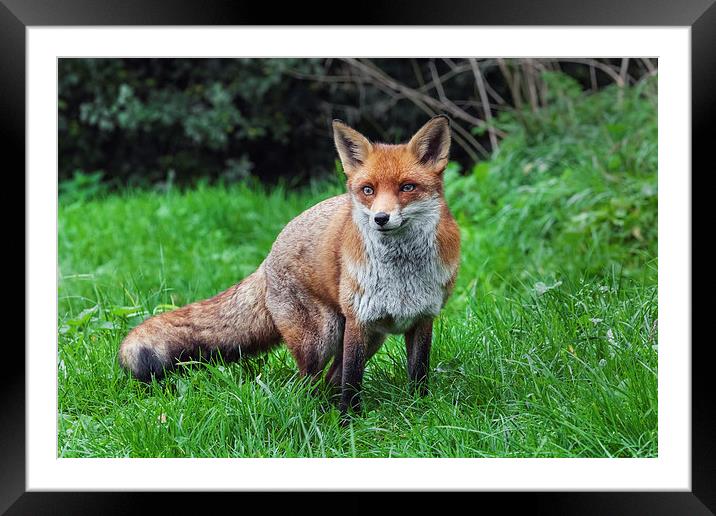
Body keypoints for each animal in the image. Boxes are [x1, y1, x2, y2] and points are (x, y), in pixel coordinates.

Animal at [118, 115, 462, 414]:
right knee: (308, 384)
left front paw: (419, 412)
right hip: (321, 338)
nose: (380, 218)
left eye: (407, 187)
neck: (401, 274)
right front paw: (349, 423)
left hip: (369, 338)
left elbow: (418, 375)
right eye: (368, 190)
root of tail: (269, 255)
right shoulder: (358, 320)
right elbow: (352, 383)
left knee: (330, 379)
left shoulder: (422, 318)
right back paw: (313, 414)